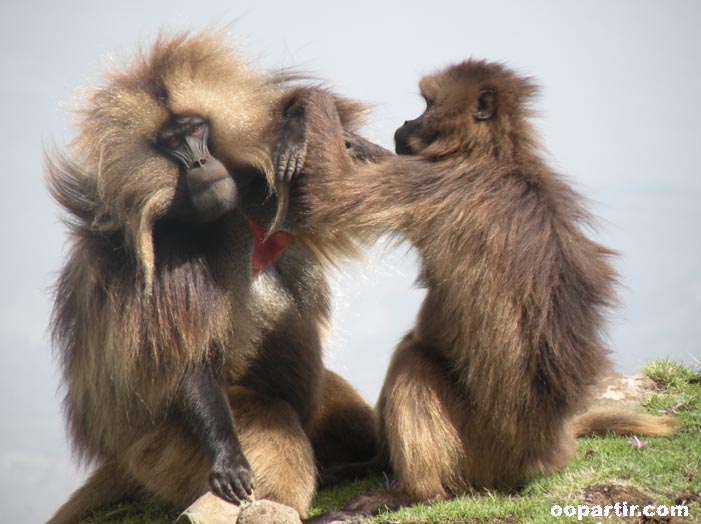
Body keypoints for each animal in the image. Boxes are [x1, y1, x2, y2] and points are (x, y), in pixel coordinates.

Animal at [45, 32, 378, 524]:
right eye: (171, 142)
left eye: (197, 130)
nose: (201, 162)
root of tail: (124, 458)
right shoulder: (166, 258)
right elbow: (188, 361)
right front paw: (228, 456)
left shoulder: (262, 190)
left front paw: (299, 120)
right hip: (163, 449)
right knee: (271, 420)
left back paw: (364, 466)